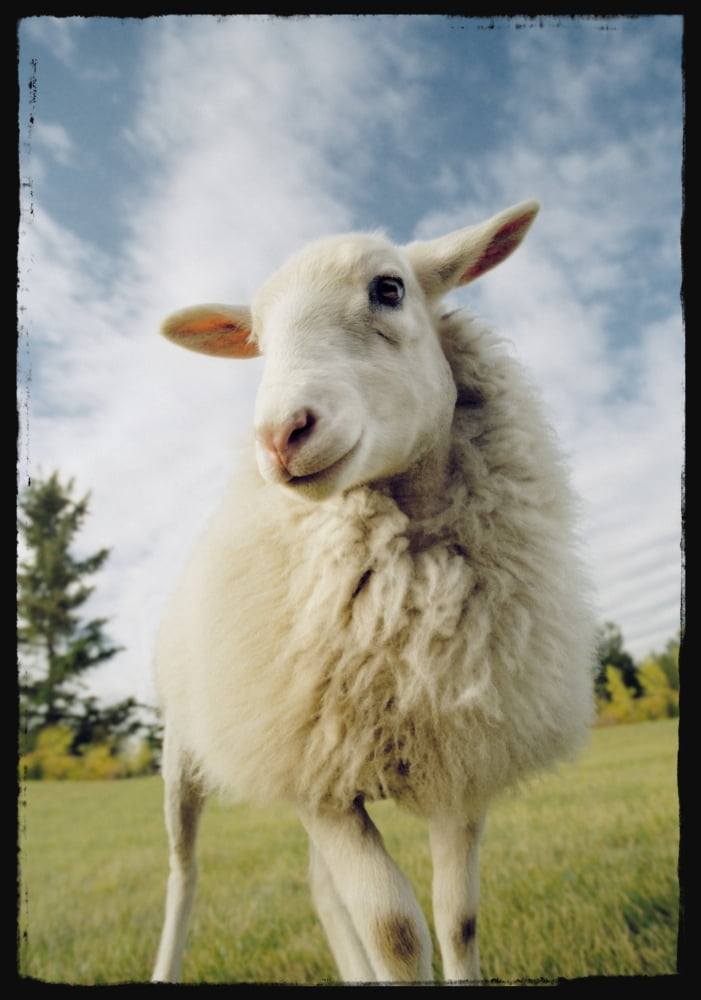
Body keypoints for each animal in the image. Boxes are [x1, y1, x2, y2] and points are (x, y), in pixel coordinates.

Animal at [151, 200, 596, 985]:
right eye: (259, 340)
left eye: (389, 288)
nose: (280, 435)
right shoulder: (316, 778)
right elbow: (396, 933)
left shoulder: (458, 762)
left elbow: (456, 919)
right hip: (186, 753)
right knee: (184, 875)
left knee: (322, 890)